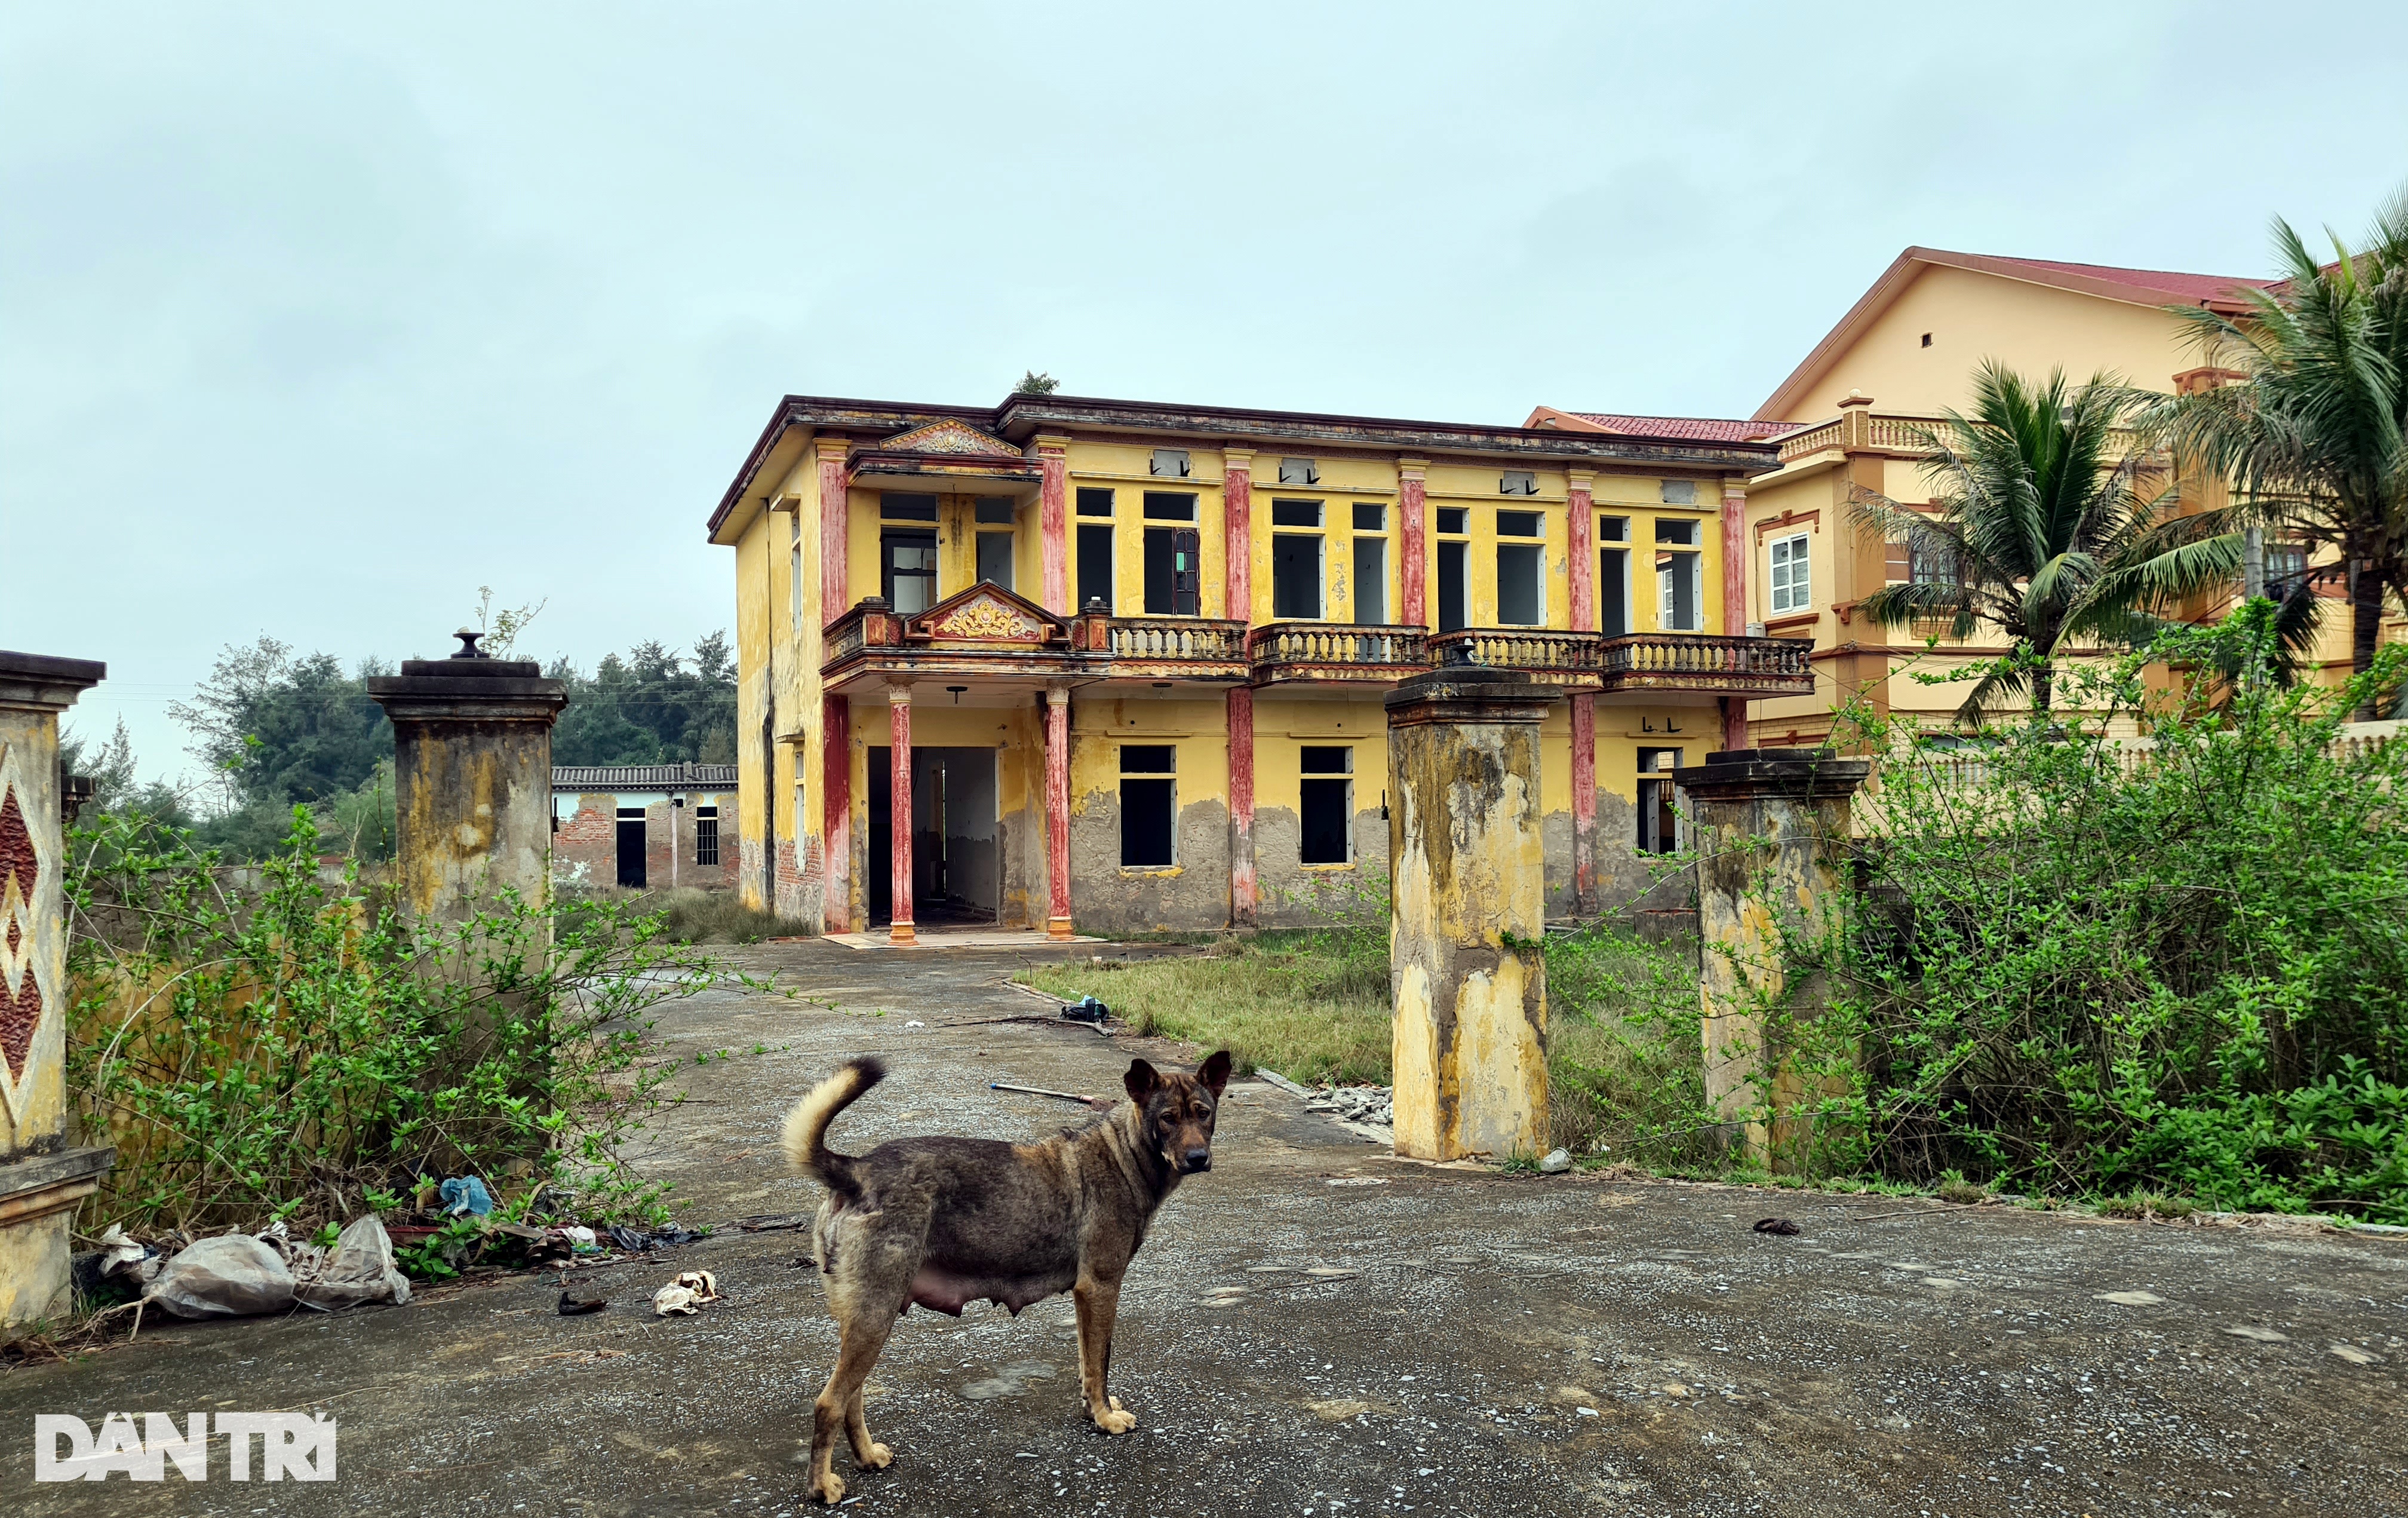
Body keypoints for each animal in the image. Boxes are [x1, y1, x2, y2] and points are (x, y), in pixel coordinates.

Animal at [780, 1050, 1233, 1503]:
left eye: (1204, 1113)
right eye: (1168, 1118)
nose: (1198, 1158)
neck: (1125, 1155)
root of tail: (857, 1170)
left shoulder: (1085, 1298)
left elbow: (1087, 1364)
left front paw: (1094, 1410)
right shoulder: (1100, 1289)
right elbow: (1099, 1363)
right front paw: (1105, 1418)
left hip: (864, 1320)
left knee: (851, 1400)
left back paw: (867, 1456)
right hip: (875, 1318)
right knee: (830, 1403)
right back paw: (821, 1485)